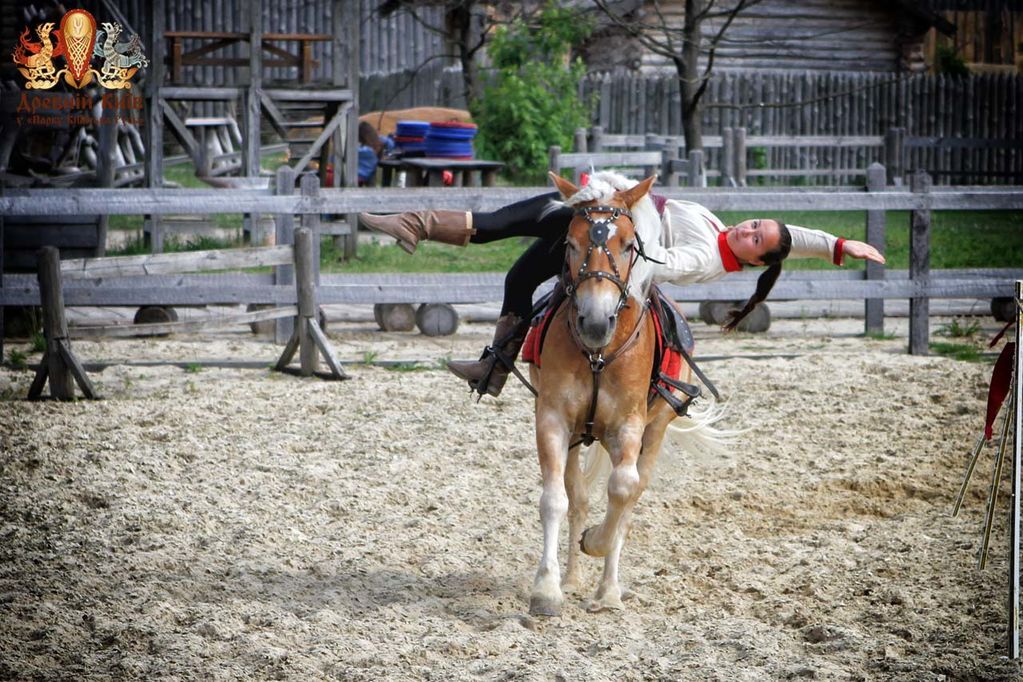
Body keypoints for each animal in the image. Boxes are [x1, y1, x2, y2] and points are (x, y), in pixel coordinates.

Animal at [527, 170, 720, 617]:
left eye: (630, 245)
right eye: (570, 242)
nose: (595, 321)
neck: (600, 353)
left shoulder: (630, 426)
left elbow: (622, 490)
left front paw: (599, 550)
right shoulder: (553, 419)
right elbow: (556, 500)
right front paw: (547, 590)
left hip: (655, 429)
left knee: (631, 495)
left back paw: (607, 589)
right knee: (578, 497)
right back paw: (572, 578)